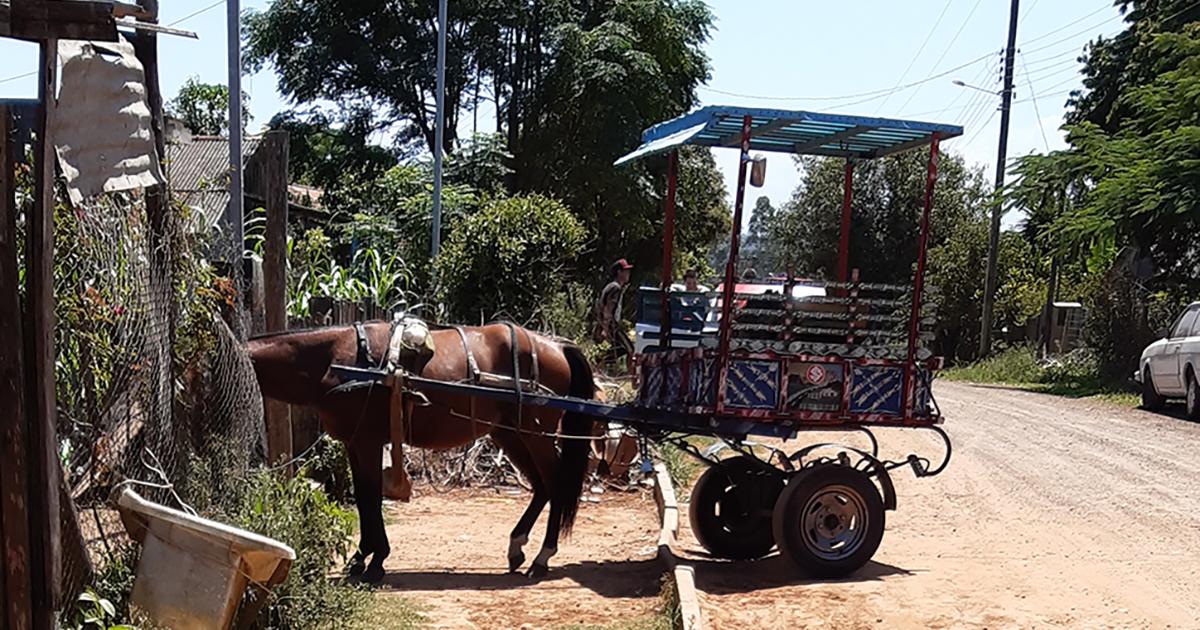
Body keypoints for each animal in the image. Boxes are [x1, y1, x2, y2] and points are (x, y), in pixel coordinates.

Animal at [244, 321, 600, 583]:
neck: (337, 360)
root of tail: (555, 346)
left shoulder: (368, 442)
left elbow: (370, 498)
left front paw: (375, 561)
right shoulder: (355, 443)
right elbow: (363, 498)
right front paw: (362, 558)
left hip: (534, 433)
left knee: (555, 484)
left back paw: (542, 557)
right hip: (510, 434)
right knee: (542, 486)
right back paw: (517, 548)